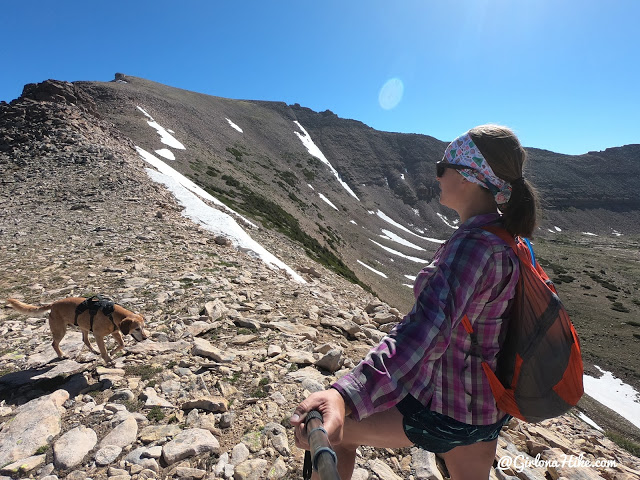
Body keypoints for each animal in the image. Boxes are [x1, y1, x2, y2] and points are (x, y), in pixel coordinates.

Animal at [5, 296, 148, 364]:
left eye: (143, 327)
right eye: (137, 328)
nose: (146, 338)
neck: (111, 313)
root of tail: (53, 304)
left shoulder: (115, 332)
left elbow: (122, 344)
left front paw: (112, 352)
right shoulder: (98, 335)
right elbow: (104, 350)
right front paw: (108, 360)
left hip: (83, 327)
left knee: (85, 340)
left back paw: (94, 351)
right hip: (60, 331)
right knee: (54, 344)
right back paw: (62, 355)